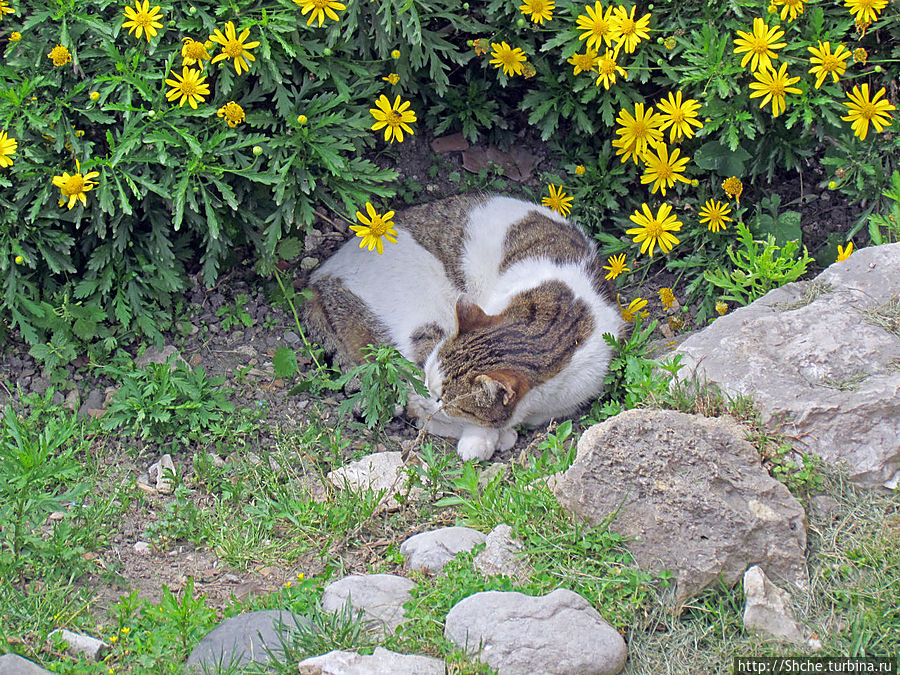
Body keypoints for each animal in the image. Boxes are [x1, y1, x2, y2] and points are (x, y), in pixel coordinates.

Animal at [306, 193, 624, 462]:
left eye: (445, 398)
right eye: (430, 384)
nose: (429, 397)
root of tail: (319, 278)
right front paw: (480, 438)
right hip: (422, 314)